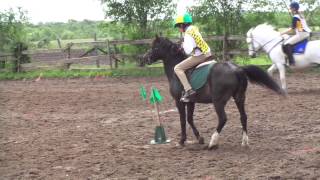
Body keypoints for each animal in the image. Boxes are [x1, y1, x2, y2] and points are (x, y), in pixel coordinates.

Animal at [144, 36, 284, 149]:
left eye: (155, 47)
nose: (145, 58)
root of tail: (237, 69)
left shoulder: (179, 102)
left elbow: (183, 120)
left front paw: (182, 141)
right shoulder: (191, 102)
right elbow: (190, 119)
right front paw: (199, 138)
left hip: (218, 101)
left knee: (222, 119)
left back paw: (213, 142)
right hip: (239, 98)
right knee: (243, 117)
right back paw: (244, 141)